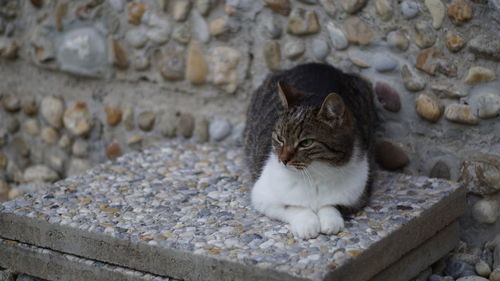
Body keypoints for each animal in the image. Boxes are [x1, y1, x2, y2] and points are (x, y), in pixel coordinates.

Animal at [244, 63, 376, 238]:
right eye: (280, 138)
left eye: (306, 143)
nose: (282, 160)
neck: (314, 175)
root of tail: (317, 64)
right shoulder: (262, 195)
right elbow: (293, 207)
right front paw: (307, 224)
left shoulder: (358, 196)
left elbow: (332, 205)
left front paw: (330, 220)